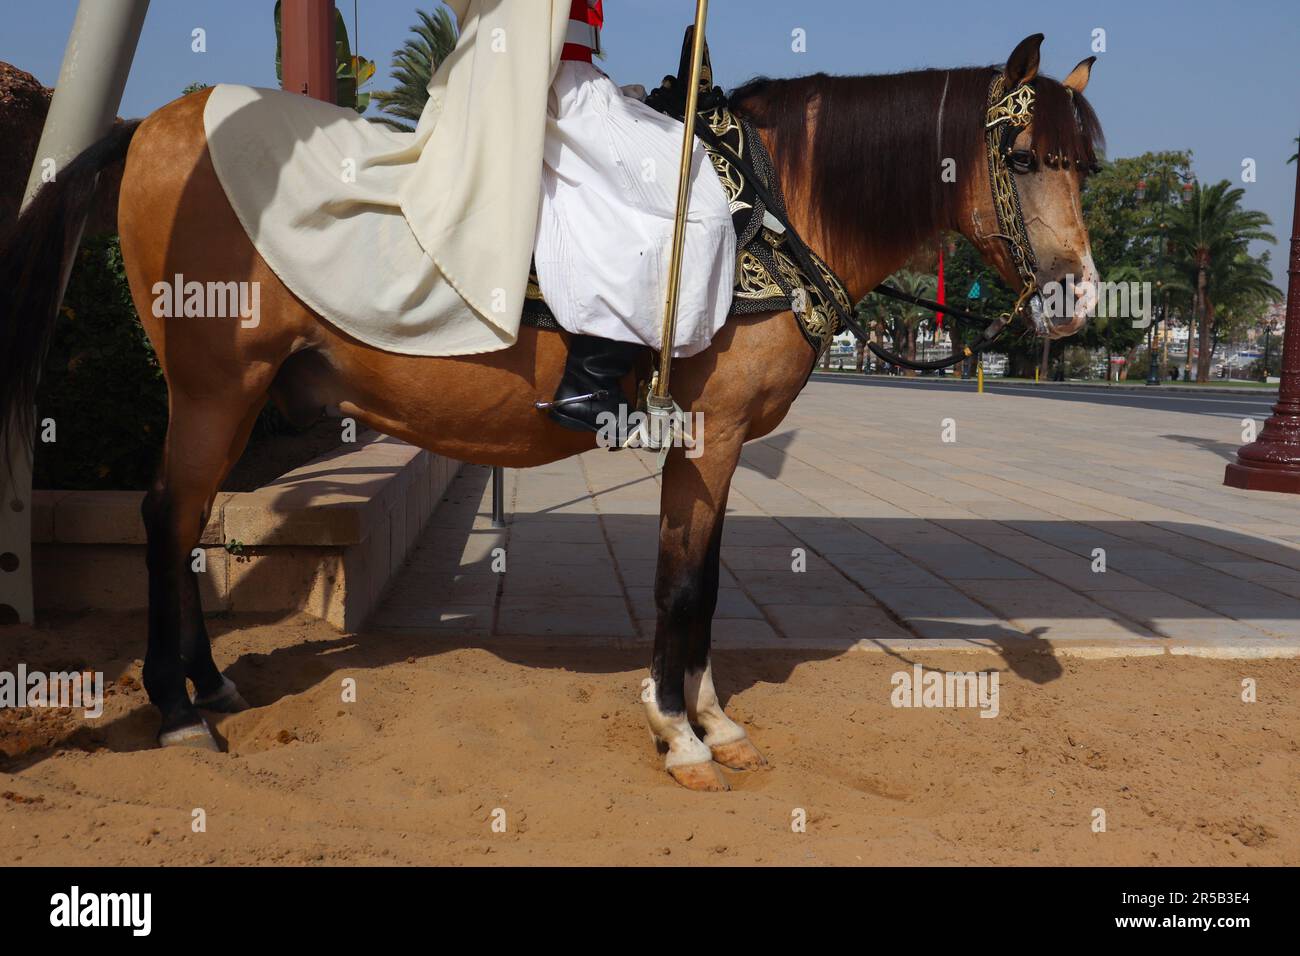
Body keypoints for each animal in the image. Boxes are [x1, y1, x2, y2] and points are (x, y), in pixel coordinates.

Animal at [0, 33, 1102, 790]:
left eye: (1085, 165)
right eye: (1022, 159)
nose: (1078, 299)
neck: (774, 208)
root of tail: (158, 121)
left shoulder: (716, 450)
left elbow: (704, 583)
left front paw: (711, 718)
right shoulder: (706, 439)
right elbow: (682, 587)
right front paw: (679, 731)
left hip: (237, 395)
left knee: (186, 523)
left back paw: (209, 682)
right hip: (215, 387)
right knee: (164, 518)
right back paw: (177, 705)